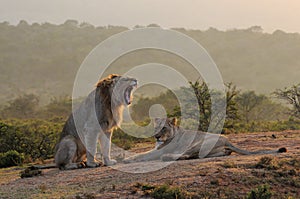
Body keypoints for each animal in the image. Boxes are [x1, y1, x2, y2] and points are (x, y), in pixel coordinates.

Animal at [123, 117, 286, 162]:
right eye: (156, 127)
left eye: (164, 128)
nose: (157, 136)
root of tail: (227, 140)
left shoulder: (159, 151)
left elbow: (143, 154)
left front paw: (125, 159)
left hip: (197, 143)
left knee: (187, 155)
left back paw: (167, 157)